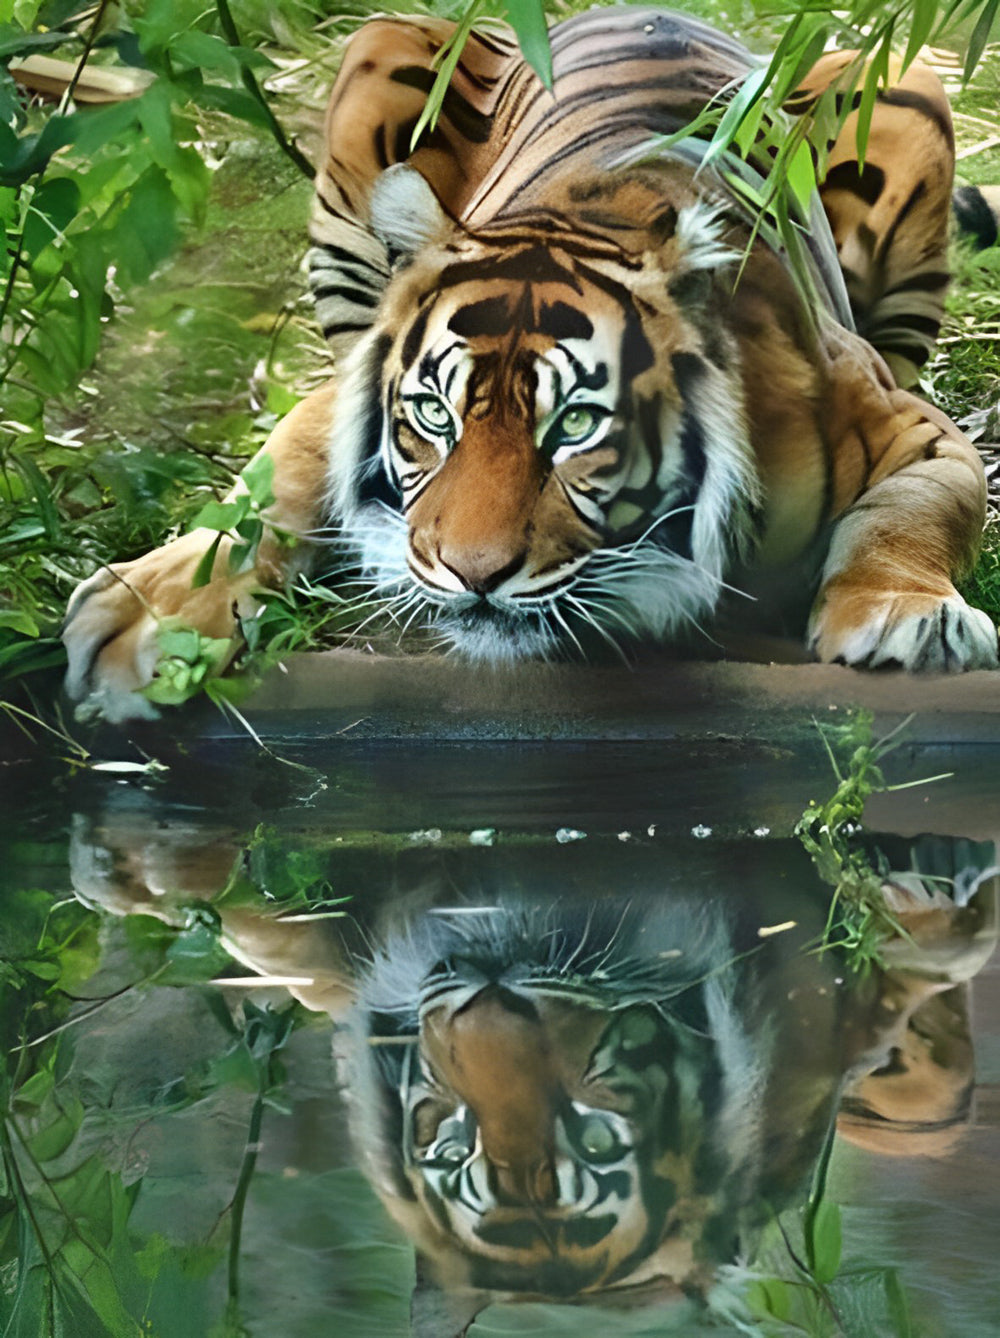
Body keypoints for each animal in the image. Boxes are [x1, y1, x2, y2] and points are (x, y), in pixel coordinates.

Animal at [62, 7, 998, 722]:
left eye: (576, 425)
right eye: (432, 414)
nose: (469, 574)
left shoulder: (914, 427)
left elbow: (916, 510)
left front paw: (910, 617)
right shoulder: (353, 383)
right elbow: (269, 487)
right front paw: (147, 622)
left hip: (903, 82)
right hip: (380, 51)